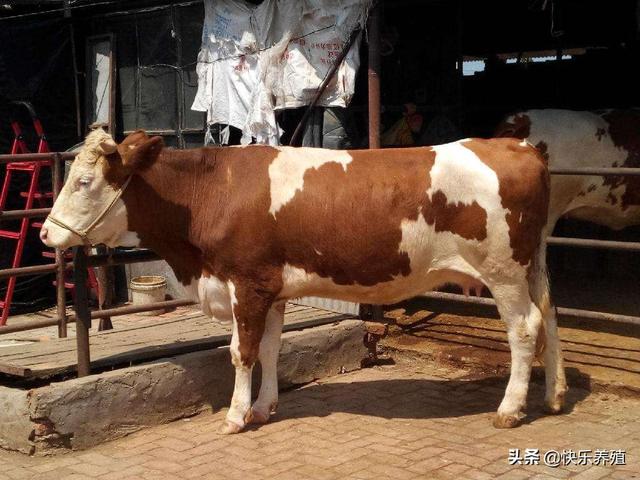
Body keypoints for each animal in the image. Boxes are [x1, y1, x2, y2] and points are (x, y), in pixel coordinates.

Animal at [40, 127, 564, 432]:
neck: (213, 191)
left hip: (503, 270)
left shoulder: (246, 282)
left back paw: (510, 409)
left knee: (525, 329)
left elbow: (242, 352)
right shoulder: (272, 289)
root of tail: (516, 145)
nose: (46, 233)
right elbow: (271, 349)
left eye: (84, 182)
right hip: (533, 264)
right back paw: (554, 396)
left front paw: (236, 416)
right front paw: (263, 408)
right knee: (551, 316)